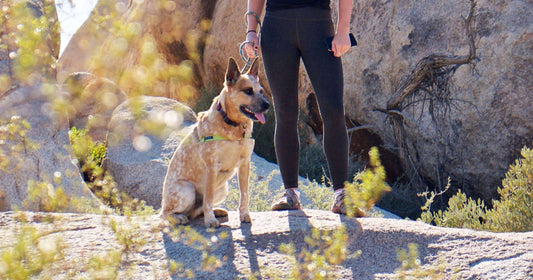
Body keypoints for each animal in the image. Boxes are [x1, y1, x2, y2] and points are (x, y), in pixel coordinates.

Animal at [159, 57, 268, 228]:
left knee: (197, 210)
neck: (233, 125)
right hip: (186, 190)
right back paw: (179, 217)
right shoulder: (212, 166)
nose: (267, 105)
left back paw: (216, 211)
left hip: (223, 188)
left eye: (261, 91)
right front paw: (210, 221)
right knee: (165, 214)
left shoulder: (245, 164)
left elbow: (244, 194)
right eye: (248, 91)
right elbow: (208, 199)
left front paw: (244, 214)